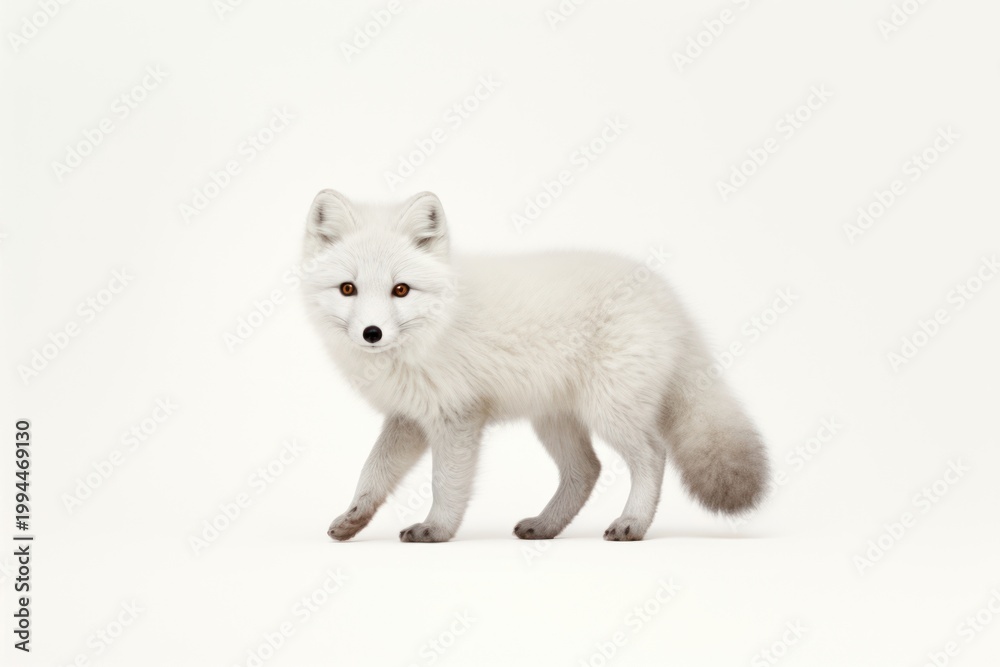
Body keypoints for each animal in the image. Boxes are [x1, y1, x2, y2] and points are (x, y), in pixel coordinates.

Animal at [302, 189, 770, 542]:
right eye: (348, 288)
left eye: (401, 290)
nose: (372, 333)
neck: (433, 328)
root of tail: (671, 301)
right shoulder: (410, 418)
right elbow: (373, 471)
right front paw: (354, 517)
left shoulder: (457, 417)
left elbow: (445, 484)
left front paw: (437, 529)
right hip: (554, 420)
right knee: (587, 470)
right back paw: (546, 525)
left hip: (609, 412)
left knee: (653, 456)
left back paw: (632, 523)